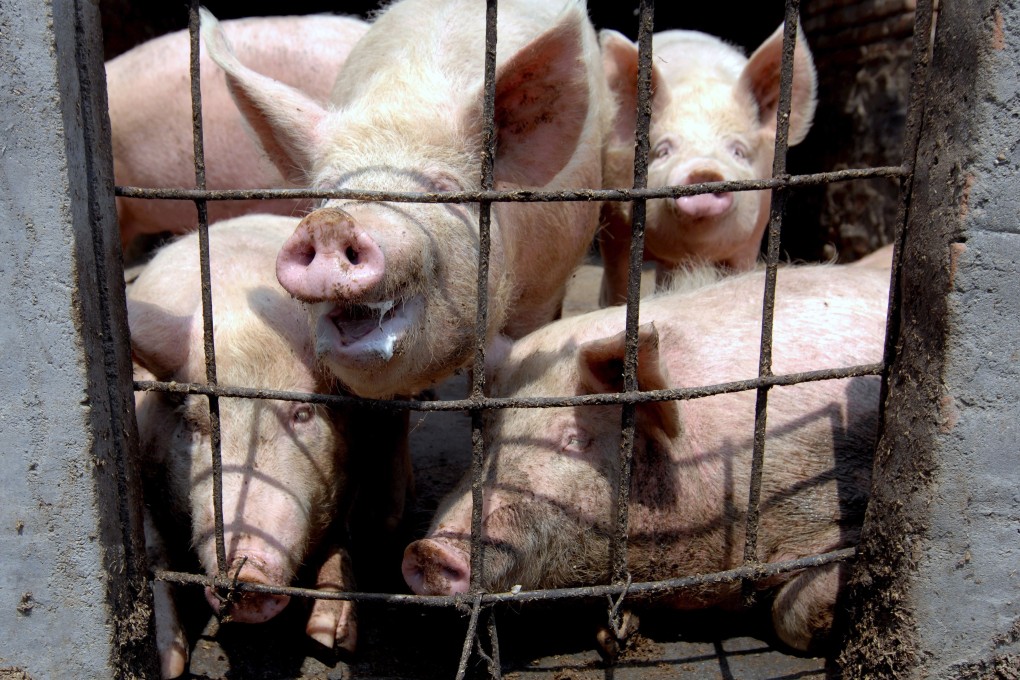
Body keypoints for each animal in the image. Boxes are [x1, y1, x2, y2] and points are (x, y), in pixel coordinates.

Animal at [129, 215, 359, 676]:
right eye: (195, 424)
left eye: (302, 415)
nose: (247, 578)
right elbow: (154, 553)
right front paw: (170, 664)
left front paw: (329, 640)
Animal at [595, 24, 820, 305]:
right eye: (663, 150)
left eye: (738, 151)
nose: (704, 171)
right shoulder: (616, 223)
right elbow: (619, 281)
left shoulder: (751, 240)